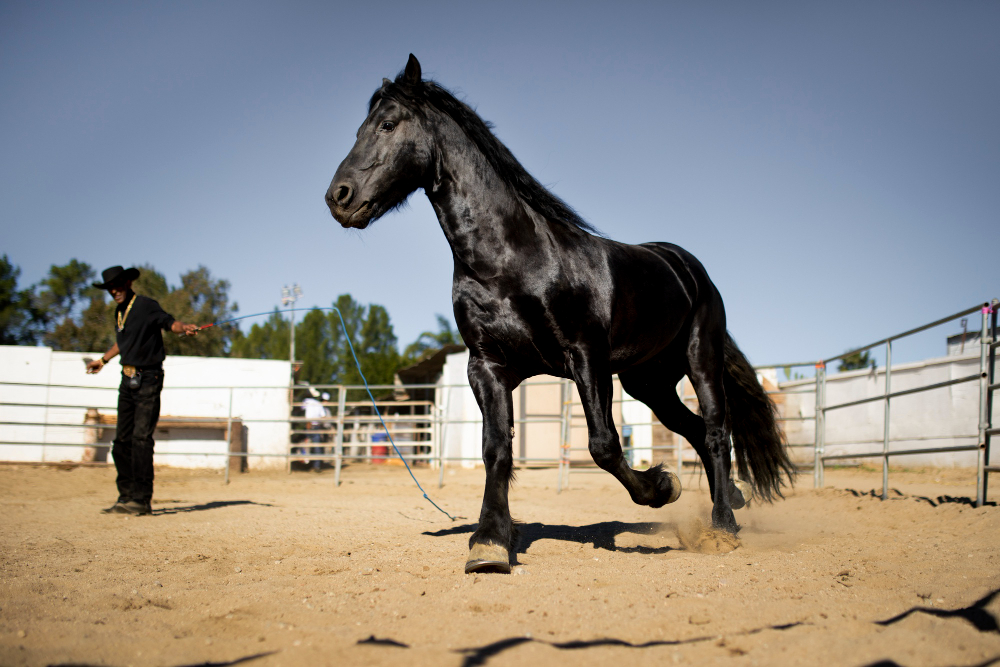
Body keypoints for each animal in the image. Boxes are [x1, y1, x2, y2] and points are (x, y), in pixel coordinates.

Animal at [326, 55, 794, 574]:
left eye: (387, 124)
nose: (339, 197)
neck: (512, 261)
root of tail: (688, 268)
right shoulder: (487, 366)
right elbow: (496, 449)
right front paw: (489, 543)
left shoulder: (585, 356)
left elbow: (603, 445)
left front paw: (660, 487)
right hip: (648, 383)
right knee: (694, 431)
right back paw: (733, 496)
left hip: (700, 358)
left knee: (714, 433)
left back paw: (723, 526)